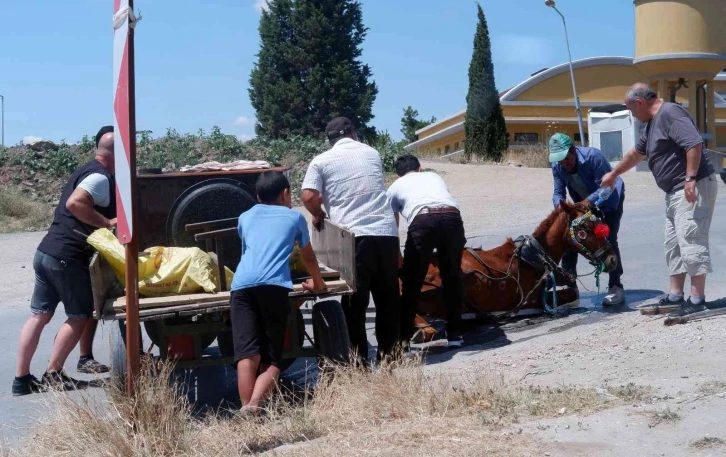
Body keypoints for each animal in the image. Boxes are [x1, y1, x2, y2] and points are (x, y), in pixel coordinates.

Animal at [410, 199, 620, 338]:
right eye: (584, 228)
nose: (612, 259)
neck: (534, 254)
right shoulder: (533, 299)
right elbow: (571, 292)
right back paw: (426, 329)